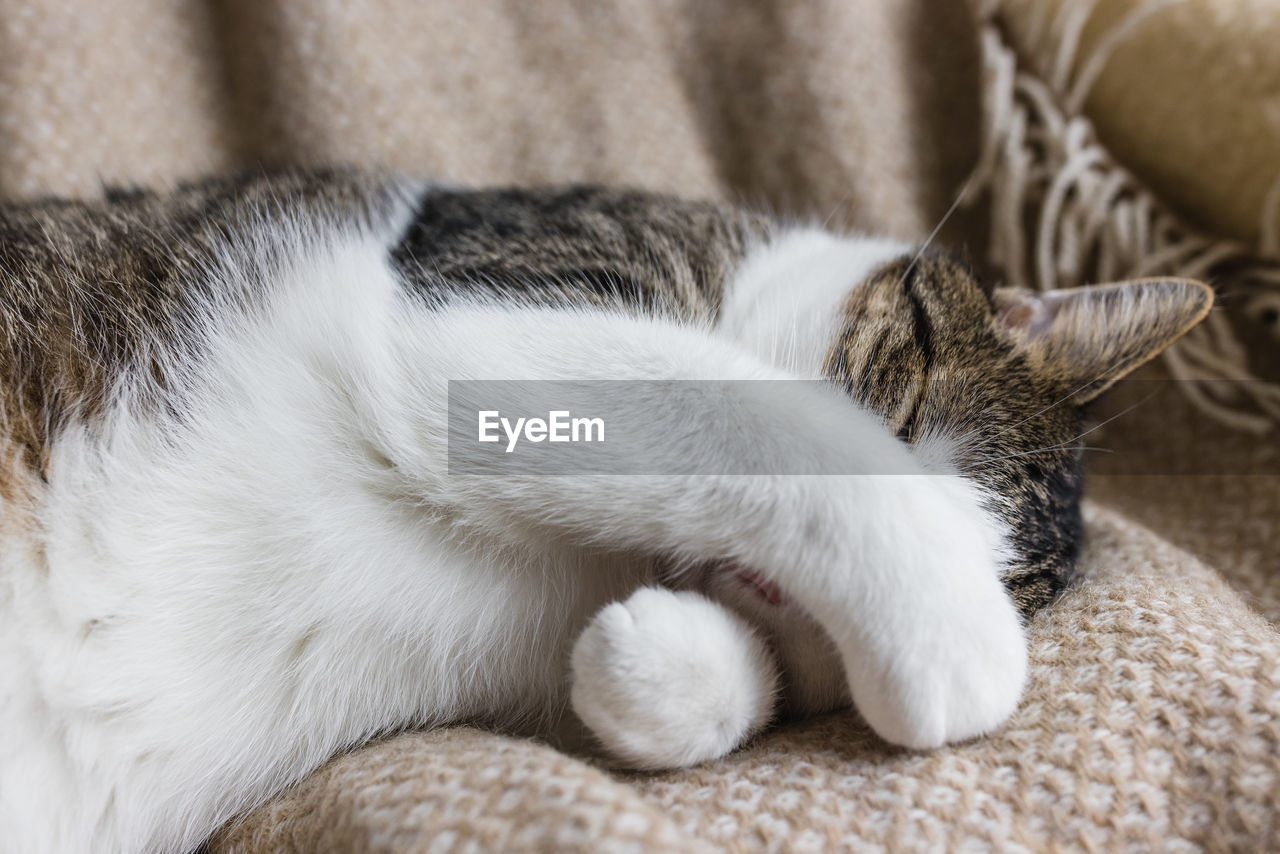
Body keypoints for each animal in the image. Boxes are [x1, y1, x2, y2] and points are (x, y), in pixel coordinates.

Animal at [0, 169, 1208, 854]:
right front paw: (955, 641)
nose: (770, 586)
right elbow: (753, 417)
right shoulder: (482, 319)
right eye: (901, 413)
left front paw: (655, 663)